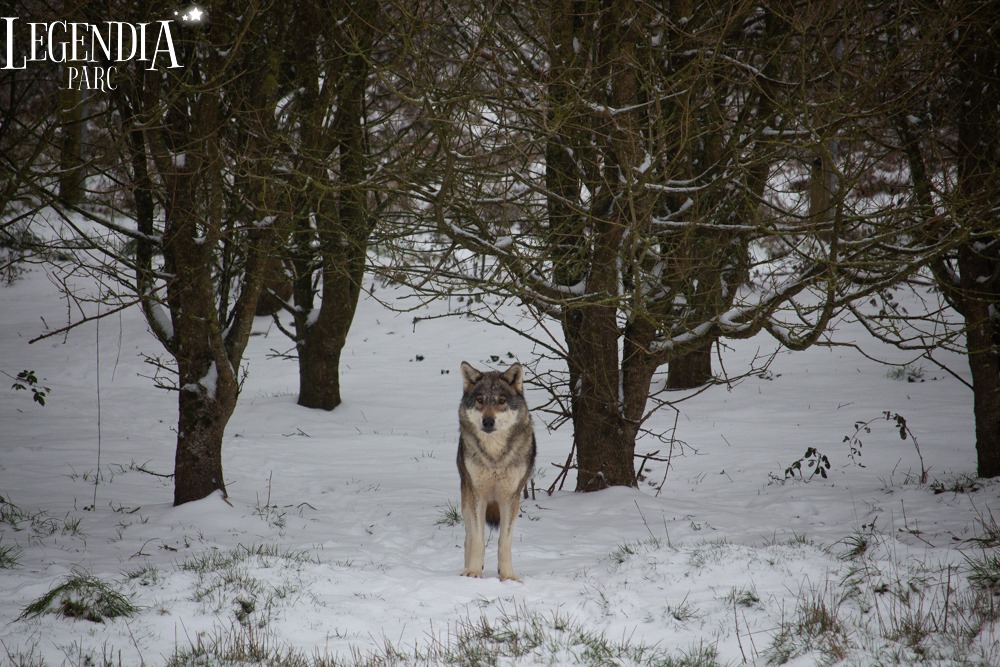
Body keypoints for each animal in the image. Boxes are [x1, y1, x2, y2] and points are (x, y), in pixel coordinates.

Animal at [458, 362, 536, 580]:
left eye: (501, 401)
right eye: (480, 400)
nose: (488, 421)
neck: (494, 457)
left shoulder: (510, 498)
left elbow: (504, 543)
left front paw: (508, 576)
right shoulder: (478, 496)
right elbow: (478, 540)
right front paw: (473, 572)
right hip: (466, 499)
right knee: (468, 538)